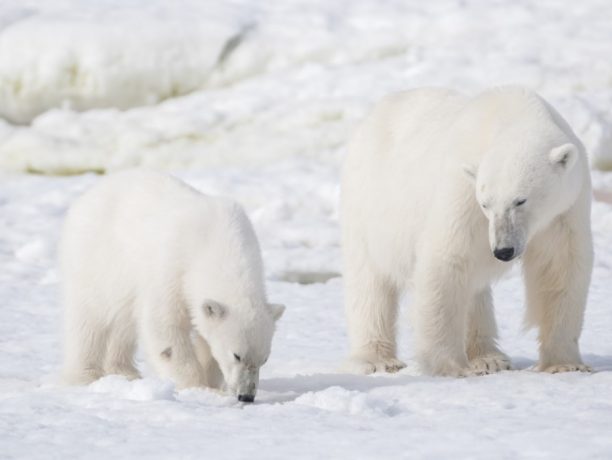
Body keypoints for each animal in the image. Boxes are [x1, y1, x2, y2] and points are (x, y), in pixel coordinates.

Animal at [59, 171, 284, 400]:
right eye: (237, 355)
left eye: (264, 359)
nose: (246, 396)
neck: (217, 243)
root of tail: (88, 194)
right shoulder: (172, 268)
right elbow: (165, 328)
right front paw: (196, 386)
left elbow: (205, 337)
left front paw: (210, 382)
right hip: (95, 258)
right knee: (88, 317)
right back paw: (85, 375)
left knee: (124, 321)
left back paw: (125, 371)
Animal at [342, 86, 592, 378]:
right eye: (486, 203)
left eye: (521, 200)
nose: (503, 251)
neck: (509, 113)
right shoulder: (461, 189)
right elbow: (447, 260)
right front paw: (450, 366)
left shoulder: (567, 205)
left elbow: (560, 266)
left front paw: (565, 363)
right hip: (368, 204)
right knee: (370, 280)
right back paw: (376, 360)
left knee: (475, 289)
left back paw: (488, 358)